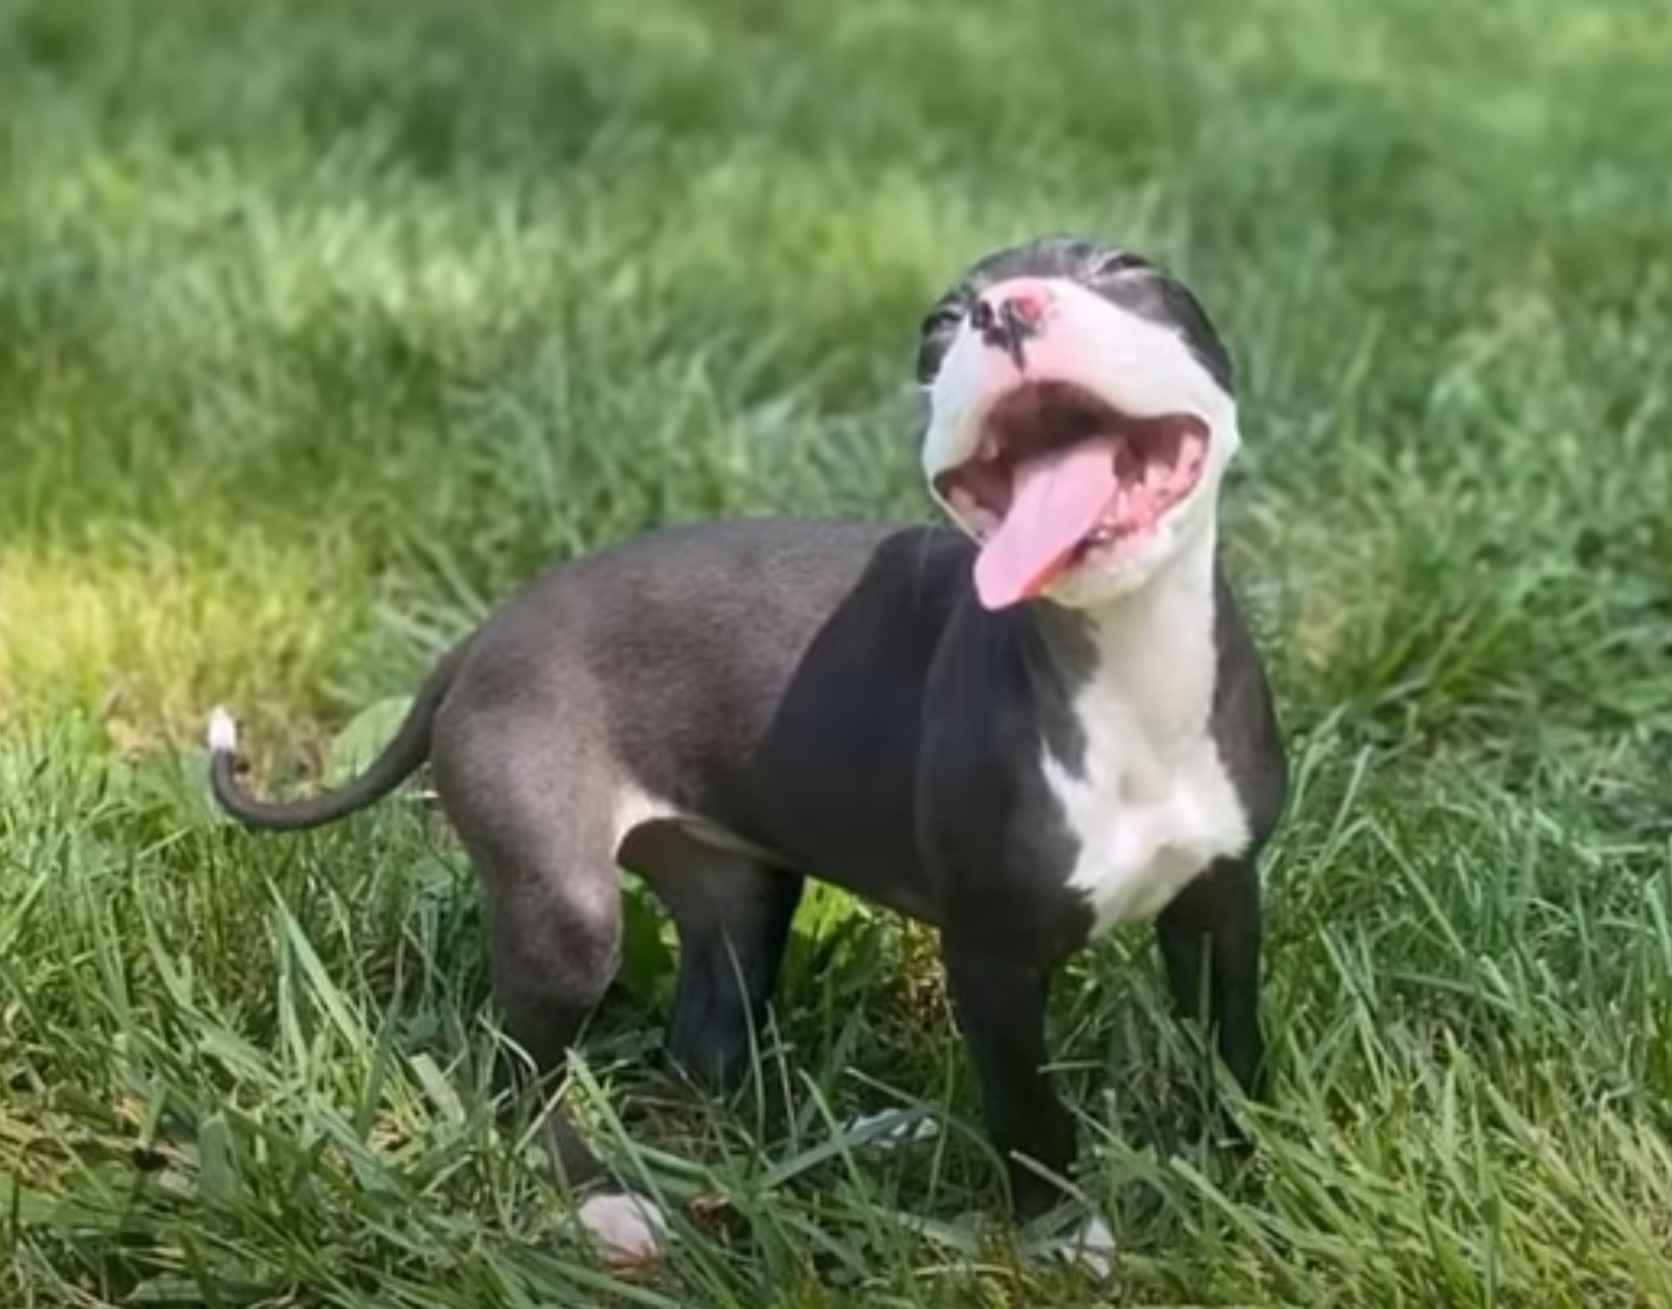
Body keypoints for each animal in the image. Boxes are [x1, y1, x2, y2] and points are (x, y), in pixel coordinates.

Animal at [205, 232, 1277, 1270]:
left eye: (1128, 271)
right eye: (939, 324)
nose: (1004, 310)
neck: (1126, 658)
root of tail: (479, 639)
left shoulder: (1222, 897)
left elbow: (1232, 1050)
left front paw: (1243, 1171)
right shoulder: (992, 955)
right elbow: (1029, 1115)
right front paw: (1063, 1236)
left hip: (738, 890)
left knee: (708, 1053)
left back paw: (860, 1139)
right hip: (568, 907)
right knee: (512, 1075)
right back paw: (600, 1202)